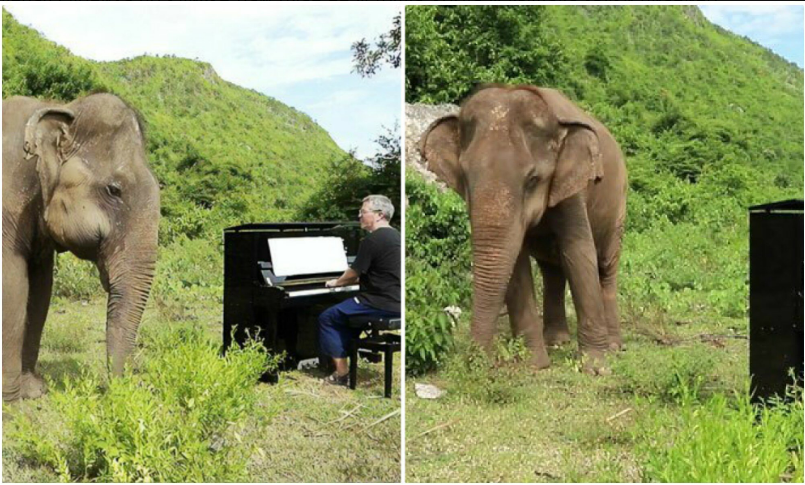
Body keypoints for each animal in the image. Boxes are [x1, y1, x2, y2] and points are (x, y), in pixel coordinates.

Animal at [2, 92, 160, 398]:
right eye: (114, 190)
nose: (112, 389)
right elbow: (13, 283)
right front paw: (12, 401)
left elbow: (40, 288)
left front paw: (34, 390)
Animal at [420, 84, 628, 374]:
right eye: (465, 176)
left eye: (533, 179)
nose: (479, 363)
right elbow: (517, 263)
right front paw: (535, 366)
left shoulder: (573, 189)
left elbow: (579, 254)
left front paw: (596, 369)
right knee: (552, 271)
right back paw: (557, 342)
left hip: (618, 205)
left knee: (606, 267)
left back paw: (614, 346)